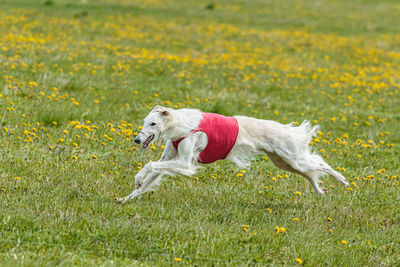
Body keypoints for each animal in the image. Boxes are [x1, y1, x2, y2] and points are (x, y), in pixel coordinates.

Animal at [115, 105, 346, 204]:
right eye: (145, 122)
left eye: (153, 124)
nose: (137, 140)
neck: (180, 125)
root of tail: (287, 130)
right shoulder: (170, 158)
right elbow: (149, 177)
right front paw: (127, 197)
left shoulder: (185, 163)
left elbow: (150, 164)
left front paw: (137, 180)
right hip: (284, 162)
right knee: (312, 175)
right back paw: (320, 191)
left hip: (294, 159)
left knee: (321, 164)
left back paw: (342, 180)